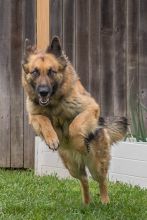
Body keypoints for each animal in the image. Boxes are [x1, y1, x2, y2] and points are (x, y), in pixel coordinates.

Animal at [21, 36, 127, 205]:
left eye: (51, 72)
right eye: (35, 72)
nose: (43, 92)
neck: (54, 104)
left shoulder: (91, 107)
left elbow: (75, 126)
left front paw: (79, 143)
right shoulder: (34, 116)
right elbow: (44, 120)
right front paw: (52, 139)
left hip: (96, 164)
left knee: (102, 180)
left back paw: (105, 201)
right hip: (72, 167)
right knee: (84, 179)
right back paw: (87, 203)